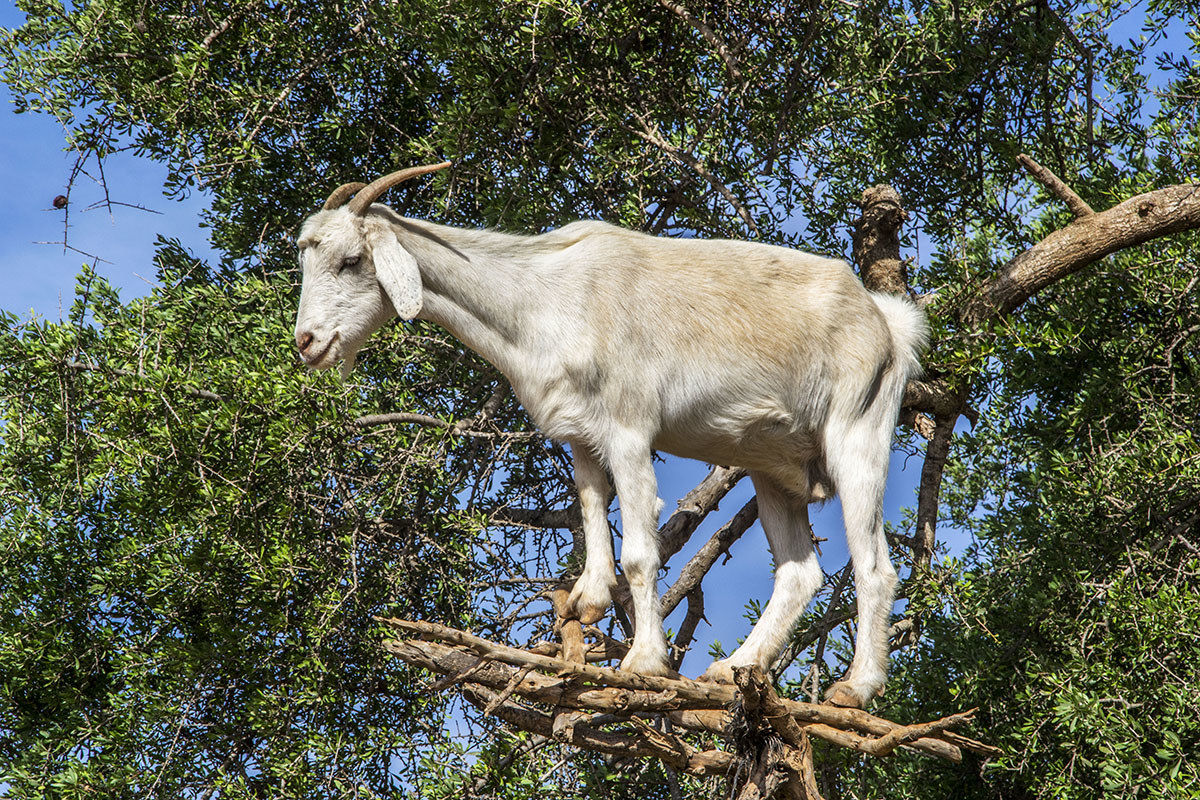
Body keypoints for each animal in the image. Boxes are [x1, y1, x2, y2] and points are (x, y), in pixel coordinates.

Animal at [293, 163, 928, 708]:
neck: (542, 300)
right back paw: (731, 671)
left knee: (875, 567)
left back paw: (855, 689)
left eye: (352, 260)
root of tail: (888, 326)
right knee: (800, 572)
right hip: (770, 463)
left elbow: (641, 552)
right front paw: (589, 601)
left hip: (858, 431)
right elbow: (592, 508)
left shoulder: (629, 430)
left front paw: (643, 661)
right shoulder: (581, 433)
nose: (307, 343)